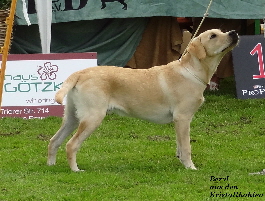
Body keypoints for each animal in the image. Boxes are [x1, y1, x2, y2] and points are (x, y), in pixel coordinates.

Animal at [48, 29, 239, 171]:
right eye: (213, 36)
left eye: (221, 31)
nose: (234, 32)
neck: (192, 71)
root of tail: (80, 72)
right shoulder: (183, 118)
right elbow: (186, 147)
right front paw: (190, 167)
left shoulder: (179, 121)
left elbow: (179, 144)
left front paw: (181, 161)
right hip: (92, 117)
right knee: (71, 144)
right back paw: (76, 170)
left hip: (72, 118)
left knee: (54, 141)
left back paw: (51, 165)